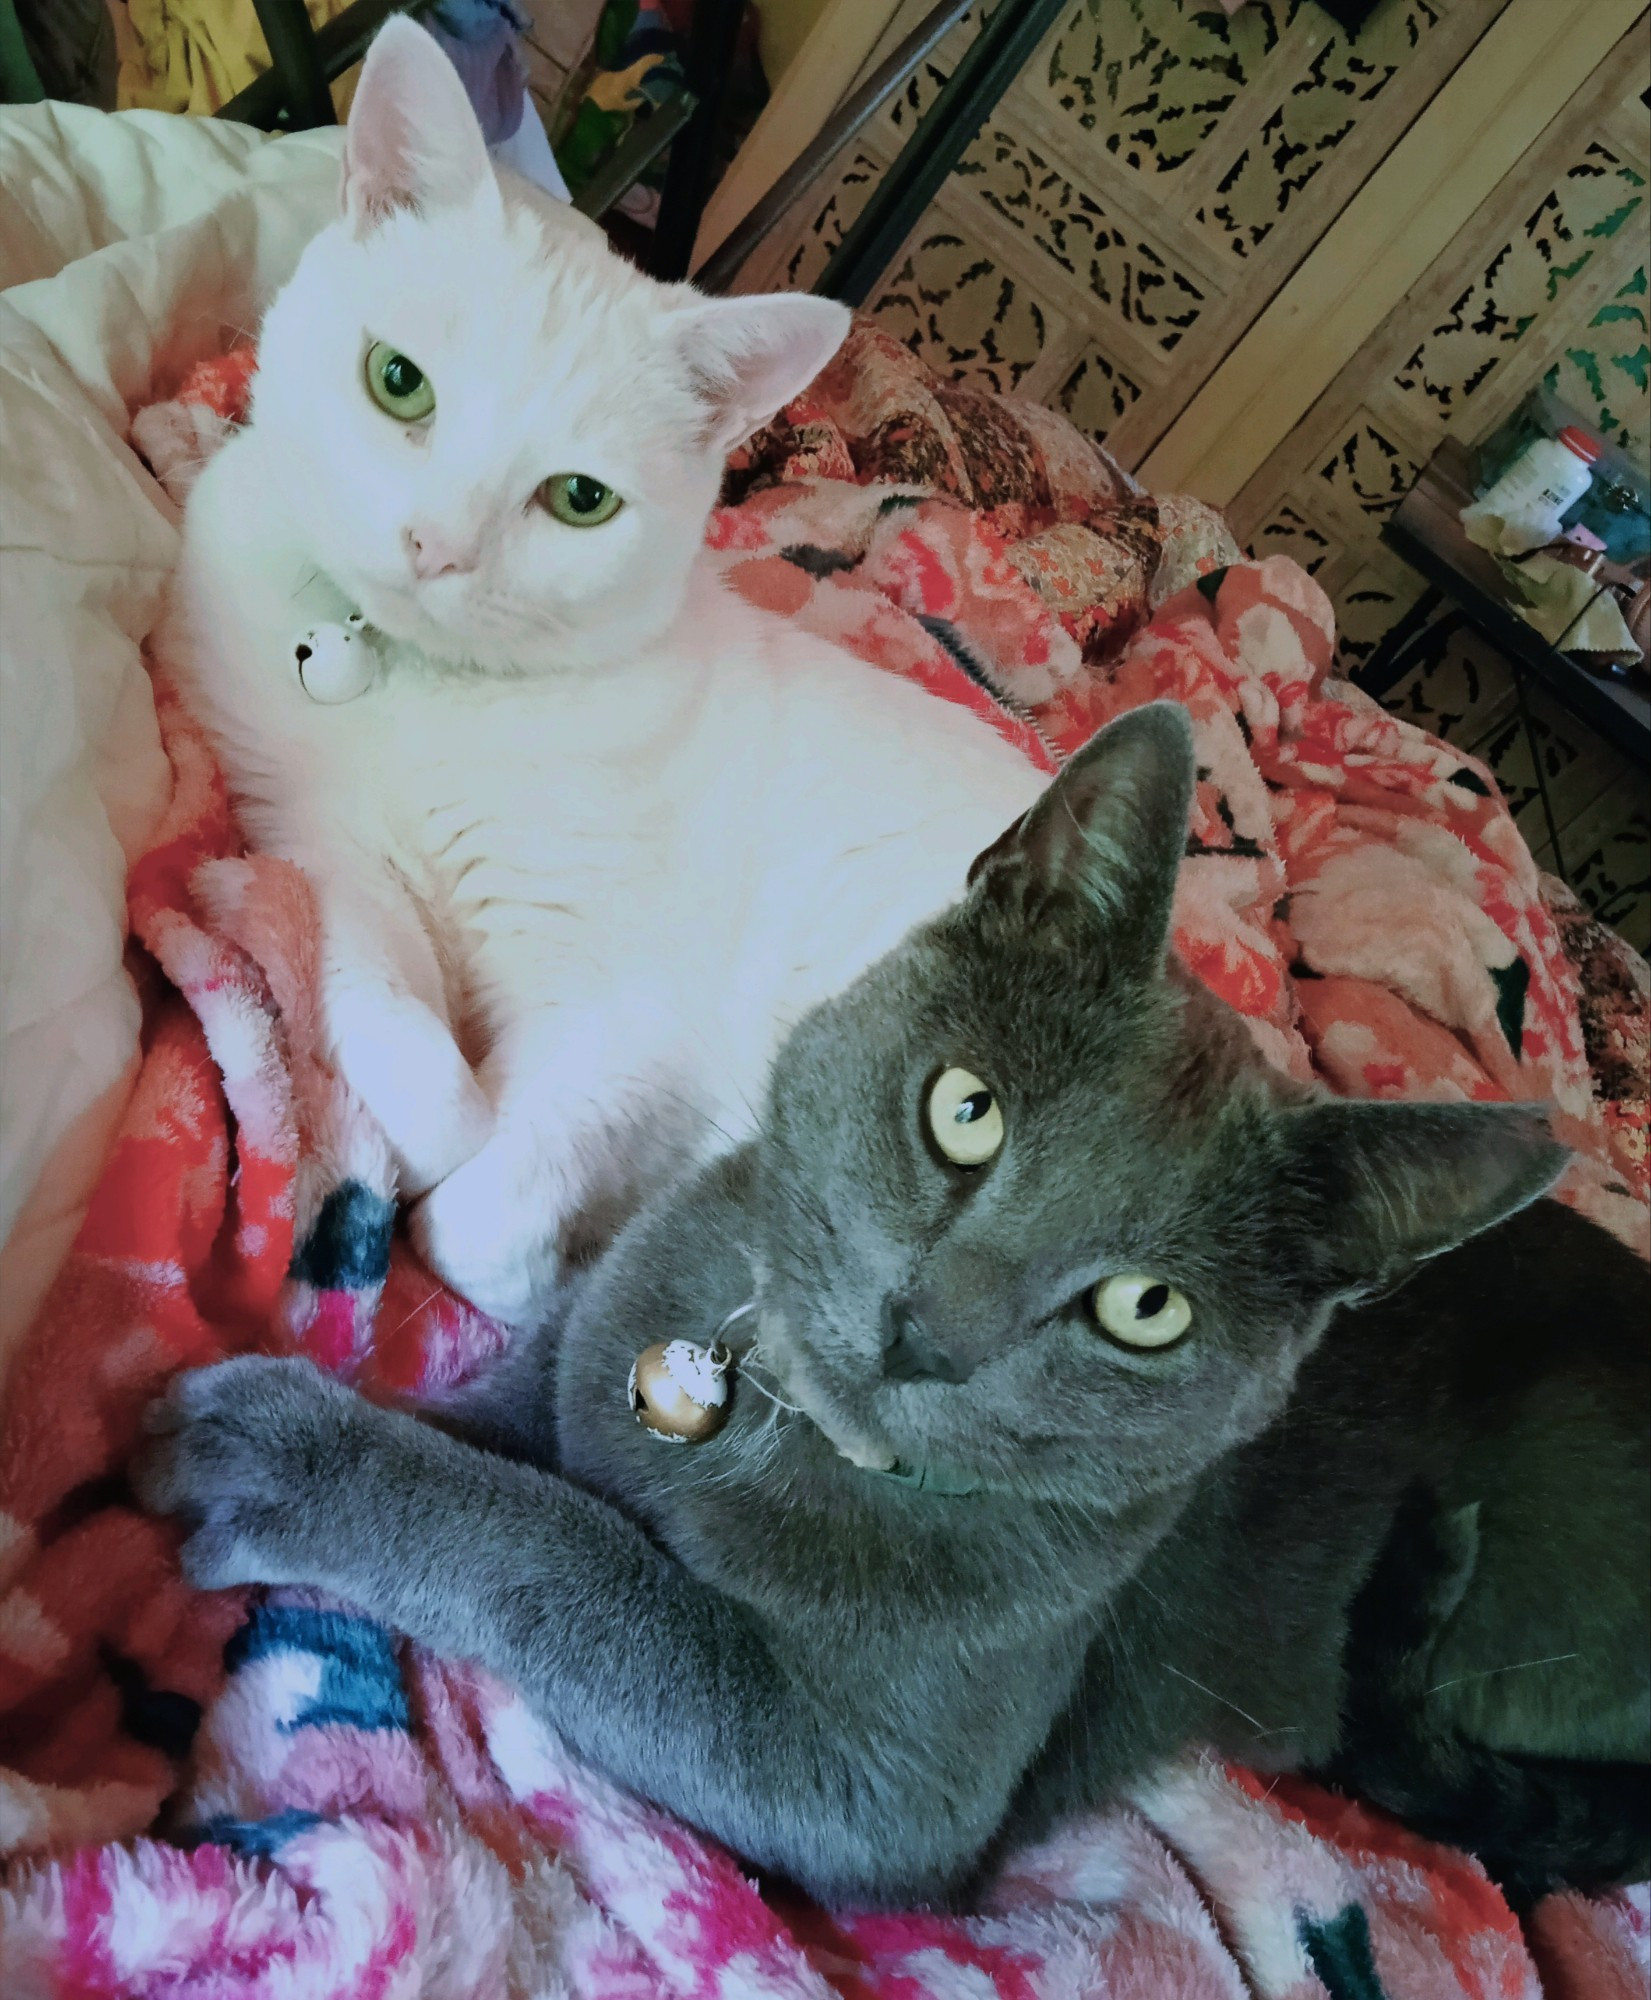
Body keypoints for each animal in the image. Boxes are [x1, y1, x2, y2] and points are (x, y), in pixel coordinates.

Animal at [137, 704, 1647, 1904]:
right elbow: (501, 1429)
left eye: (1146, 1311)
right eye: (965, 1112)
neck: (760, 1405)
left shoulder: (877, 1799)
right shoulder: (580, 1345)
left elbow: (573, 1555)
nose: (926, 1330)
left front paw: (280, 1457)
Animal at [163, 23, 1039, 1328]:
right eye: (397, 381)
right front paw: (431, 1099)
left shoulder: (631, 1022)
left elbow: (482, 1214)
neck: (424, 687)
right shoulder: (319, 835)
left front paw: (546, 1282)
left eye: (580, 499)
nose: (437, 546)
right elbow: (373, 987)